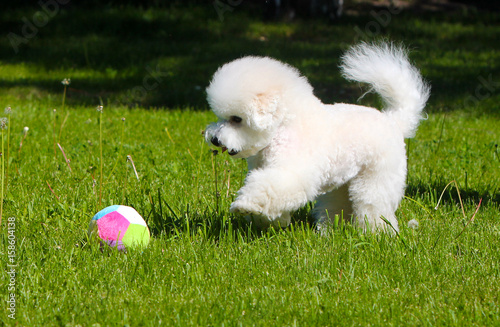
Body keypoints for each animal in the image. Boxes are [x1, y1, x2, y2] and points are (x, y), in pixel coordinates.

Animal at [203, 43, 430, 233]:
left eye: (237, 119)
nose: (215, 139)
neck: (284, 128)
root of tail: (393, 121)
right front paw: (269, 221)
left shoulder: (291, 173)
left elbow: (269, 188)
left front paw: (244, 206)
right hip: (343, 182)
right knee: (339, 205)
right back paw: (330, 231)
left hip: (377, 178)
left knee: (373, 205)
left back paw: (378, 234)